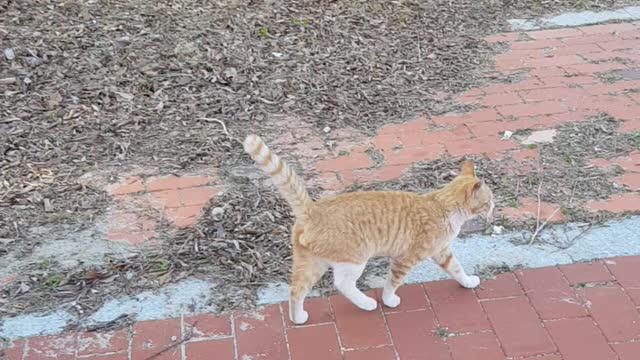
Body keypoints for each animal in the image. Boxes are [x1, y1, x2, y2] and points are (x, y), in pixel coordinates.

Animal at [244, 134, 496, 324]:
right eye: (489, 200)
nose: (495, 207)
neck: (442, 205)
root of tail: (312, 210)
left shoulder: (442, 252)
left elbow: (457, 269)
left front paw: (468, 282)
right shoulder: (405, 259)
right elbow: (392, 283)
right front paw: (389, 300)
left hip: (312, 264)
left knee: (296, 290)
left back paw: (298, 318)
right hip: (354, 259)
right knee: (342, 284)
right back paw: (366, 303)